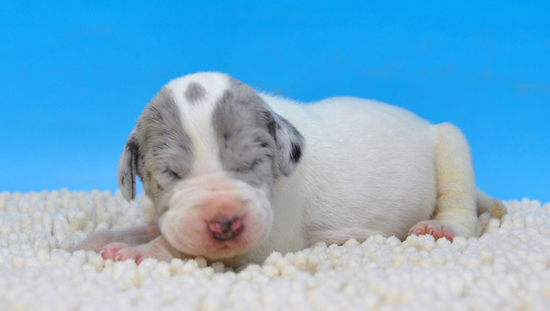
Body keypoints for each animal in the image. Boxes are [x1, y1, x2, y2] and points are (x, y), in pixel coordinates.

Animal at [72, 71, 504, 268]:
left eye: (251, 163)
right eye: (171, 175)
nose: (224, 224)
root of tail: (427, 125)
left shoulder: (267, 239)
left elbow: (182, 244)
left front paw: (139, 252)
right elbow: (150, 226)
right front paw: (93, 241)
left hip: (451, 144)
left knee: (463, 210)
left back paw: (441, 226)